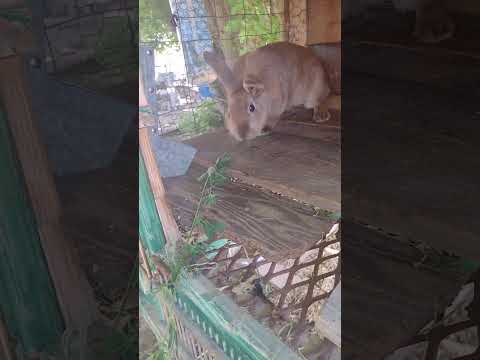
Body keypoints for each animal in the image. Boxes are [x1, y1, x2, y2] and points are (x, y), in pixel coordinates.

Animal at [204, 43, 332, 141]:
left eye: (251, 108)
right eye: (229, 113)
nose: (242, 136)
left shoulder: (277, 104)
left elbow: (273, 118)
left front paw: (265, 129)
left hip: (314, 90)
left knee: (323, 99)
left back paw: (321, 115)